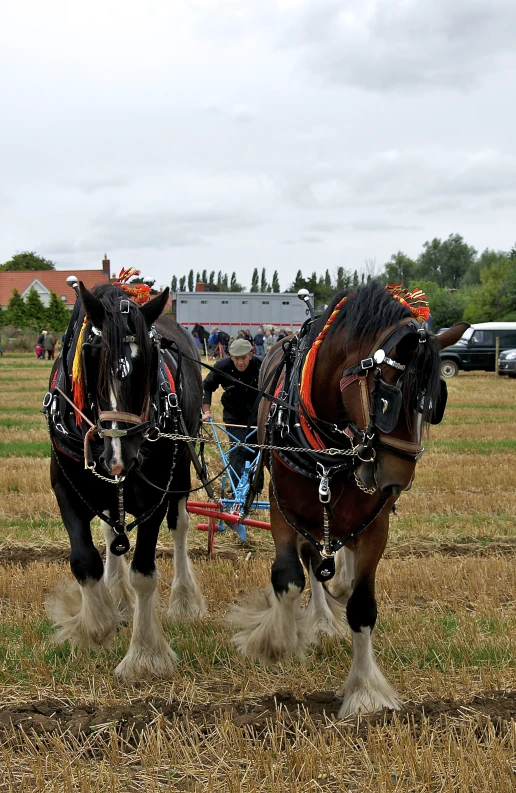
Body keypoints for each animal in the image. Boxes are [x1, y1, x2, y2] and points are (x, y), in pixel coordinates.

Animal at [44, 282, 206, 676]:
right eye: (92, 354)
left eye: (150, 359)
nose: (121, 456)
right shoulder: (66, 488)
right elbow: (84, 560)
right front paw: (97, 623)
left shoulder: (154, 496)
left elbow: (144, 572)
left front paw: (146, 655)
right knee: (109, 531)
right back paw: (116, 597)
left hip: (181, 467)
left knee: (180, 525)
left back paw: (184, 601)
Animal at [232, 282, 466, 716]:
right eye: (388, 399)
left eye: (434, 402)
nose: (397, 480)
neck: (334, 444)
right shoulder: (283, 510)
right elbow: (288, 576)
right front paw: (275, 643)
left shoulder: (376, 525)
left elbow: (361, 604)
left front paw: (365, 691)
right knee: (311, 560)